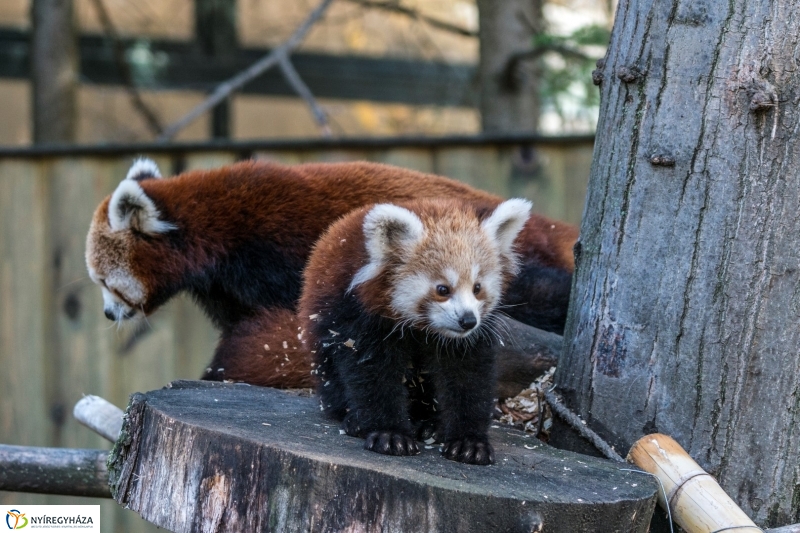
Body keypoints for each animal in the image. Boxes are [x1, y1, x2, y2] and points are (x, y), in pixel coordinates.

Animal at [296, 197, 536, 464]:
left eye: (477, 288)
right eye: (442, 289)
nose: (468, 320)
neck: (424, 329)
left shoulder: (468, 341)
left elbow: (468, 378)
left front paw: (469, 441)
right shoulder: (360, 317)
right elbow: (373, 375)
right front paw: (389, 433)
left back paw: (432, 424)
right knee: (332, 379)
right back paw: (355, 419)